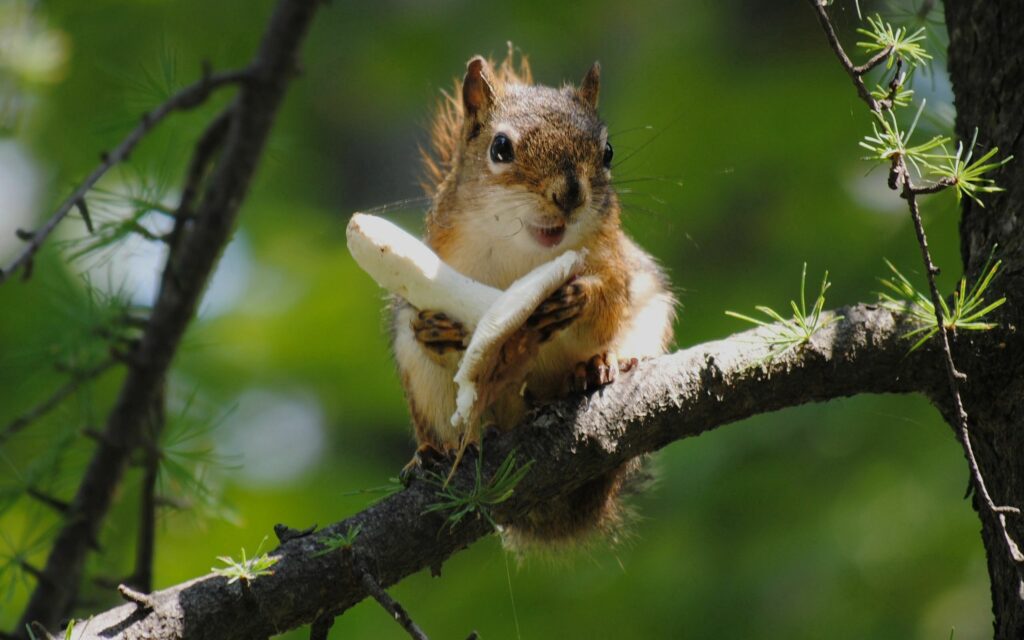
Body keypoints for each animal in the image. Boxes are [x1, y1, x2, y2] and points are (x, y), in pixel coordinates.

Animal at [391, 49, 677, 547]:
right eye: (500, 148)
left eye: (607, 152)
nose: (570, 194)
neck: (526, 253)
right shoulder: (440, 263)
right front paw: (435, 329)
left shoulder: (616, 260)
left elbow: (609, 299)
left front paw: (581, 296)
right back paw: (435, 452)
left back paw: (597, 367)